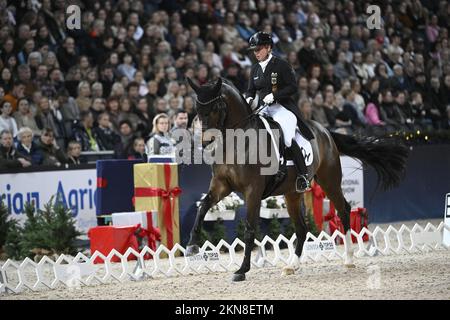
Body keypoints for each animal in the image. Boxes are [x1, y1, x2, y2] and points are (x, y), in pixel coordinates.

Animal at [185, 76, 410, 282]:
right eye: (197, 109)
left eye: (215, 107)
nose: (204, 143)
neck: (237, 142)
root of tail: (326, 131)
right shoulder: (221, 185)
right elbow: (203, 207)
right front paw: (192, 246)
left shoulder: (252, 191)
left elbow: (249, 229)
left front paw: (242, 270)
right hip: (292, 193)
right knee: (302, 228)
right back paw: (292, 266)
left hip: (329, 181)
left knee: (343, 210)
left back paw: (348, 259)